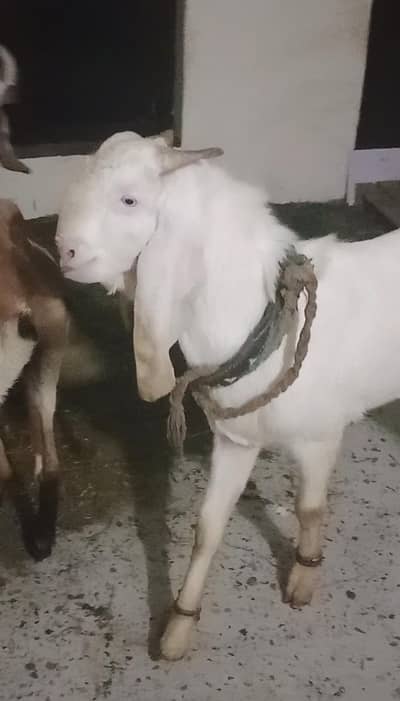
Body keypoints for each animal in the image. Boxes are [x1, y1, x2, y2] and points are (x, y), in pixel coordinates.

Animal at [56, 131, 400, 660]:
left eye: (130, 199)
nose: (65, 251)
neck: (260, 316)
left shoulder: (320, 438)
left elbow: (309, 508)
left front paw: (302, 579)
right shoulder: (237, 440)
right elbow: (208, 527)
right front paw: (178, 629)